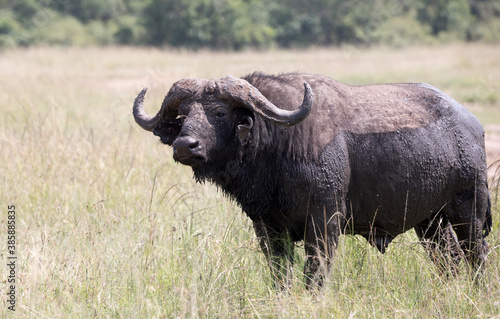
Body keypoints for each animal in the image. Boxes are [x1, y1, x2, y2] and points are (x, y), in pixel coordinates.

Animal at [133, 74, 492, 288]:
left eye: (220, 113)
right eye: (184, 115)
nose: (185, 145)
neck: (279, 145)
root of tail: (471, 124)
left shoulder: (324, 221)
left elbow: (315, 272)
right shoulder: (266, 226)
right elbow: (279, 272)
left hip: (469, 210)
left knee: (476, 254)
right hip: (430, 222)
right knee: (448, 260)